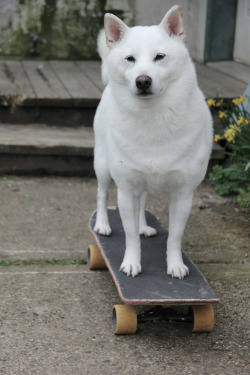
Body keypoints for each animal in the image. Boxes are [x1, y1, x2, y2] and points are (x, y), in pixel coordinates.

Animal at [94, 3, 213, 280]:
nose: (143, 81)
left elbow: (175, 237)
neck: (153, 117)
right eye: (130, 59)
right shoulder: (126, 189)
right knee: (102, 194)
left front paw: (175, 265)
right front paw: (131, 263)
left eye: (160, 57)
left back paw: (143, 226)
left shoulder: (183, 194)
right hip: (103, 165)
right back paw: (102, 224)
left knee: (143, 203)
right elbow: (129, 237)